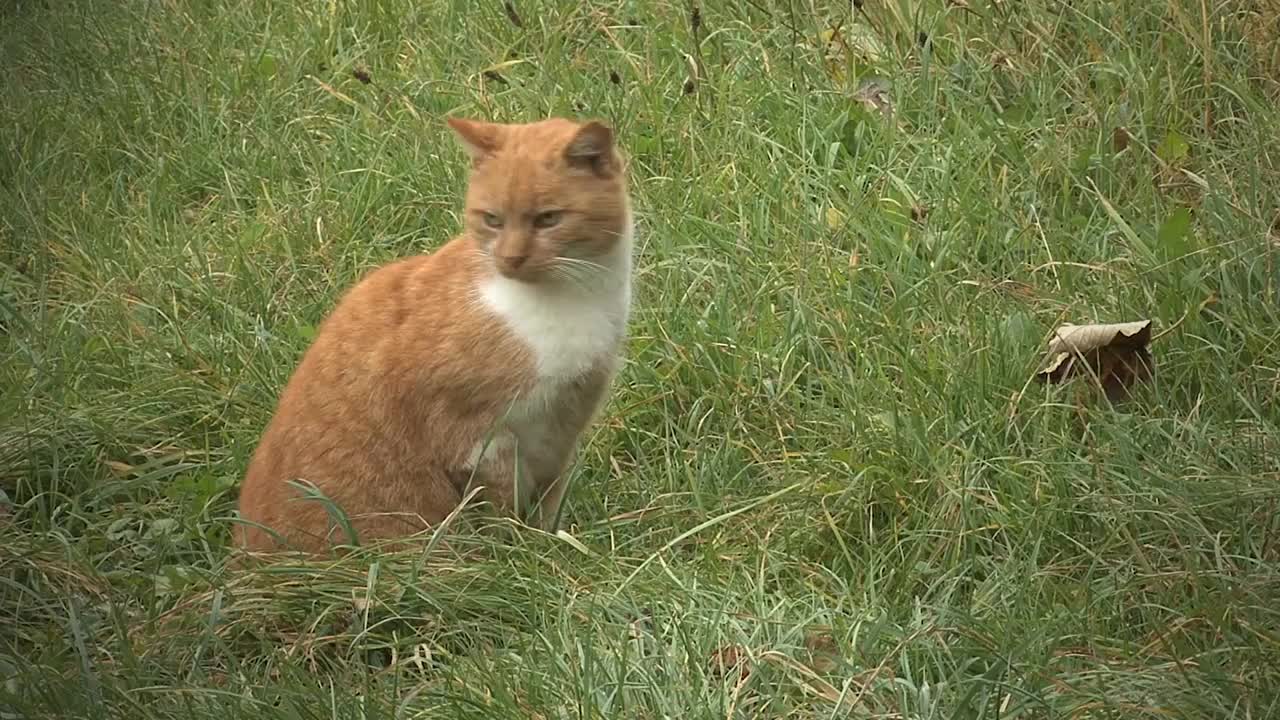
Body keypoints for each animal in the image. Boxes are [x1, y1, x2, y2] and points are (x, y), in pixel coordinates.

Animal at [235, 116, 634, 556]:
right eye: (492, 219)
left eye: (548, 219)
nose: (509, 259)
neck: (571, 303)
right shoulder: (474, 436)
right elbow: (503, 509)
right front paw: (516, 553)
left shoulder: (564, 428)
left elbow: (548, 504)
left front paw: (546, 547)